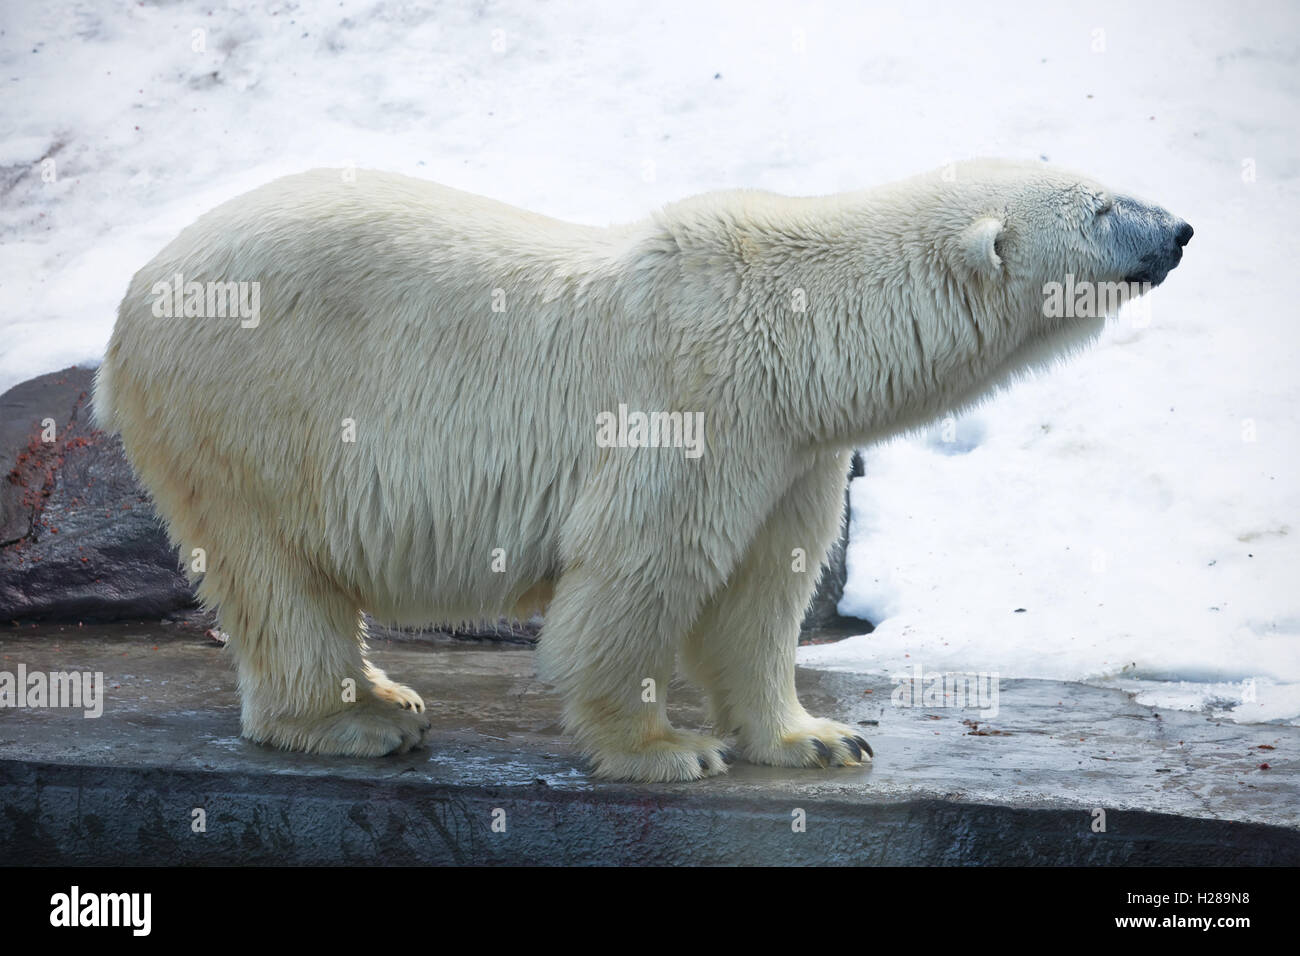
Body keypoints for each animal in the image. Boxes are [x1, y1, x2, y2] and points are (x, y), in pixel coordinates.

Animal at [96, 160, 1190, 780]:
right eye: (1102, 206)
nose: (1180, 228)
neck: (803, 332)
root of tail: (132, 300)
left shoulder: (793, 448)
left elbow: (765, 589)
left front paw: (816, 738)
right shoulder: (695, 402)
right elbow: (639, 573)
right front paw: (665, 748)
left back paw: (385, 694)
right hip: (248, 406)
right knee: (273, 570)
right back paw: (351, 722)